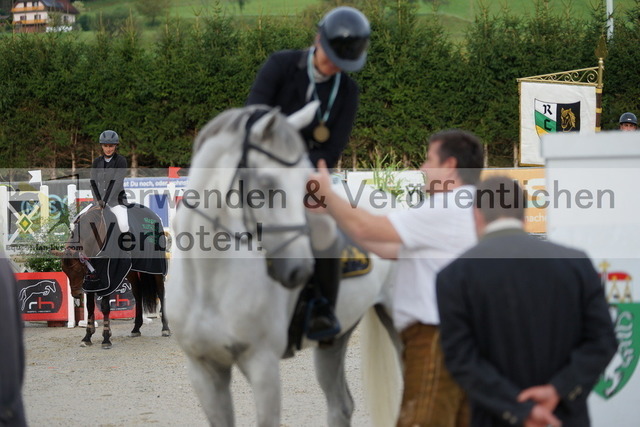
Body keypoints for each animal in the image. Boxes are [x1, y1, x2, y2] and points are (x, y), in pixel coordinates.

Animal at [55, 206, 170, 350]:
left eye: (78, 269)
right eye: (65, 271)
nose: (76, 294)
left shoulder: (108, 278)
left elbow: (105, 306)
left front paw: (106, 338)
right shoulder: (91, 281)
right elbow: (90, 307)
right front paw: (87, 337)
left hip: (156, 269)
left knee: (161, 292)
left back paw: (165, 328)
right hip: (131, 271)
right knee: (137, 294)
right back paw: (136, 328)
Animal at [168, 104, 402, 427]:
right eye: (267, 184)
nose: (300, 271)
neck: (209, 280)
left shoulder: (262, 365)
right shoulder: (204, 370)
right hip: (335, 338)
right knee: (340, 405)